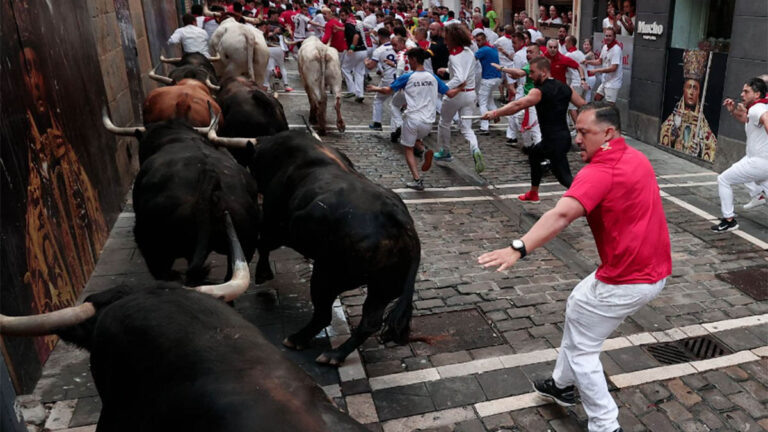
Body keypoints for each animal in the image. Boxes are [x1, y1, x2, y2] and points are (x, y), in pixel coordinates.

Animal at [246, 132, 420, 364]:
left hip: (327, 275)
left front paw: (262, 273)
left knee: (323, 314)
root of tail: (400, 221)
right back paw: (335, 354)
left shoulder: (274, 224)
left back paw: (299, 340)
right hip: (383, 287)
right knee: (369, 322)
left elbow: (262, 243)